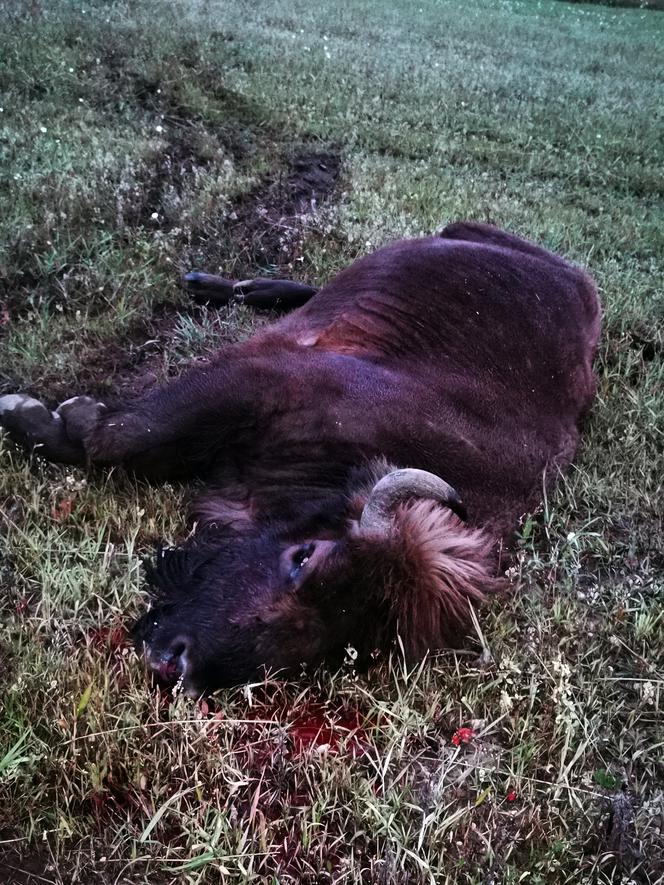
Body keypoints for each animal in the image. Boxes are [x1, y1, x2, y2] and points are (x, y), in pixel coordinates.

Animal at [0, 219, 600, 692]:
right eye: (304, 556)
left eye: (344, 638)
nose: (176, 664)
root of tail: (577, 281)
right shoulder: (254, 379)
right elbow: (119, 438)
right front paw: (35, 411)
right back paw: (211, 285)